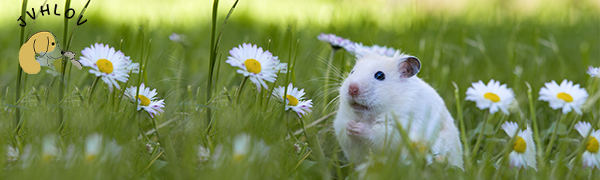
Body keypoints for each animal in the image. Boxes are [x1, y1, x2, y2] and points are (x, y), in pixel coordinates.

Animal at [332, 52, 464, 169]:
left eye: (380, 75)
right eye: (352, 72)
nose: (352, 89)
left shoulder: (397, 131)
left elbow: (376, 136)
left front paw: (358, 128)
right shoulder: (341, 124)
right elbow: (346, 133)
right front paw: (350, 125)